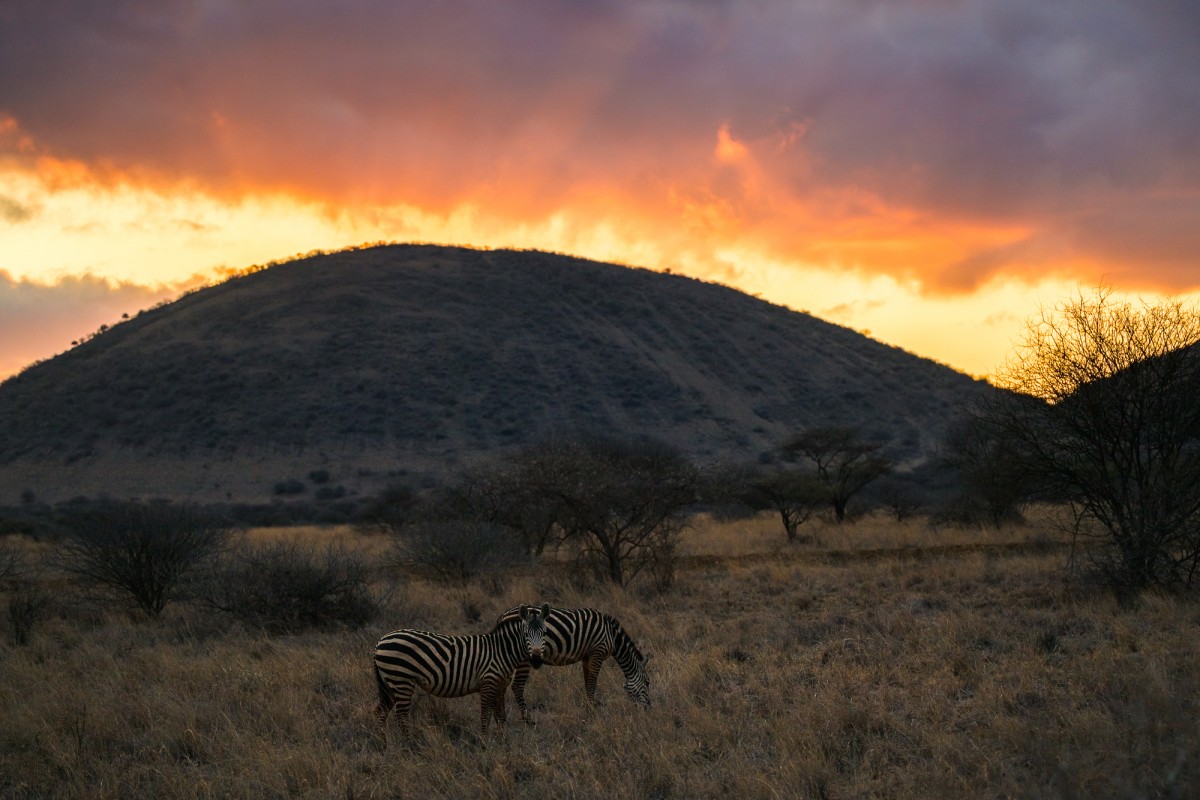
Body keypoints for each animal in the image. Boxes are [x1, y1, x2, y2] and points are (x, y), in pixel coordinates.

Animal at [372, 604, 549, 743]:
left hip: (390, 683)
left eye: (545, 633)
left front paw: (504, 743)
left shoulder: (500, 686)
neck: (501, 651)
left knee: (380, 712)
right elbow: (486, 715)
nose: (536, 660)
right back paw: (410, 745)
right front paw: (485, 743)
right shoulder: (488, 682)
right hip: (401, 679)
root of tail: (381, 640)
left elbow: (501, 716)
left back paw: (382, 743)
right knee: (401, 715)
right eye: (526, 634)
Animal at [492, 604, 652, 724]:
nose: (648, 709)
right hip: (524, 657)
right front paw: (593, 713)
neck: (611, 636)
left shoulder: (587, 657)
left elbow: (588, 684)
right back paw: (528, 721)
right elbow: (592, 684)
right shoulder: (597, 653)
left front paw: (589, 709)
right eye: (648, 682)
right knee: (517, 686)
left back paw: (501, 719)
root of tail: (502, 616)